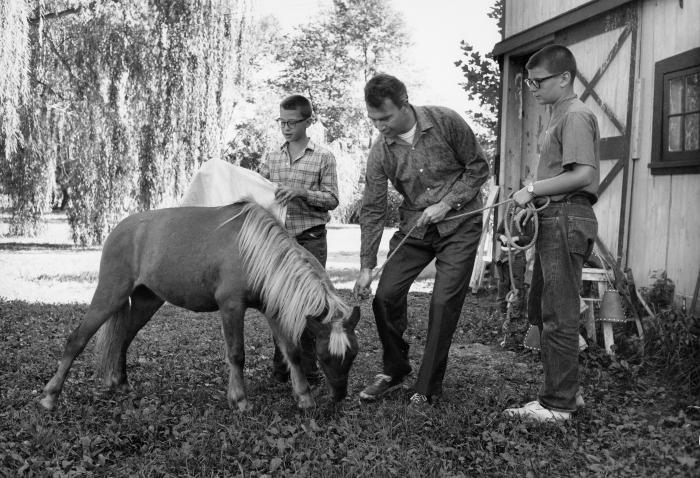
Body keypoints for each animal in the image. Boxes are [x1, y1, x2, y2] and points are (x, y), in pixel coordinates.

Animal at [41, 202, 360, 410]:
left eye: (353, 354)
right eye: (325, 356)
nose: (340, 396)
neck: (254, 250)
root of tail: (120, 228)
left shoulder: (272, 309)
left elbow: (291, 351)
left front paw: (304, 397)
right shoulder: (231, 307)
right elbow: (237, 354)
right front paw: (240, 400)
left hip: (146, 301)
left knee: (122, 339)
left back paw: (121, 385)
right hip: (110, 294)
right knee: (77, 339)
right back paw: (50, 396)